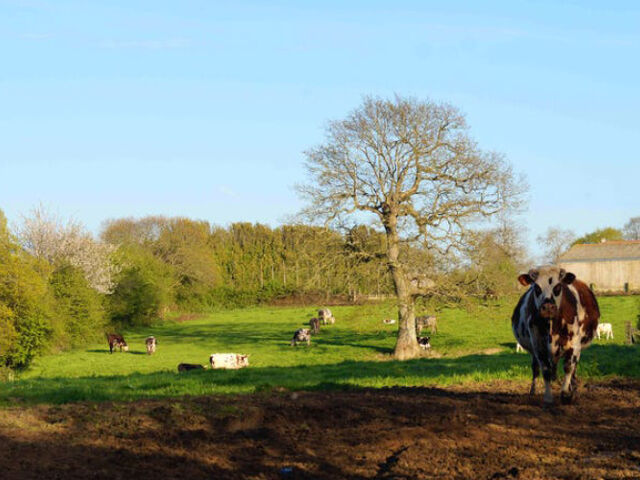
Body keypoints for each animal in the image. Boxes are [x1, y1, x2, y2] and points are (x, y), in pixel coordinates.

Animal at [510, 266, 600, 404]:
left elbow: (568, 367)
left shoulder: (574, 345)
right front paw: (548, 397)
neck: (552, 326)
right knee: (536, 369)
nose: (548, 307)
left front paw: (566, 393)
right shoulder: (538, 347)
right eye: (536, 287)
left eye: (558, 286)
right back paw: (533, 391)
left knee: (572, 370)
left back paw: (573, 389)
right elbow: (545, 370)